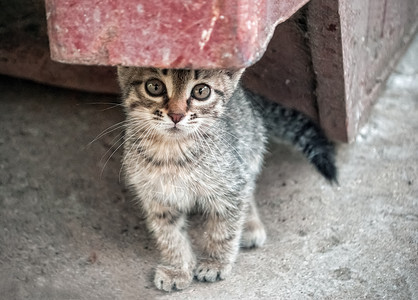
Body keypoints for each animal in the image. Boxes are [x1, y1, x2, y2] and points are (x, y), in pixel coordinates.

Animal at [116, 67, 336, 292]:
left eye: (201, 91)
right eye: (154, 86)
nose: (176, 115)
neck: (172, 152)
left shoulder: (230, 185)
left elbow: (223, 229)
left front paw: (215, 263)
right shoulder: (157, 199)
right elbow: (170, 235)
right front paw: (177, 268)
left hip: (249, 151)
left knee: (248, 189)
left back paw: (250, 225)